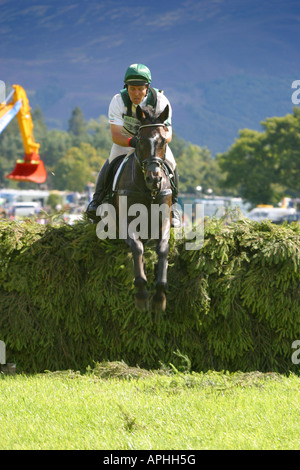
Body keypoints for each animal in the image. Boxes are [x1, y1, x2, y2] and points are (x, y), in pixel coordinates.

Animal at [113, 104, 172, 314]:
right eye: (140, 140)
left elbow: (162, 248)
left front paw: (160, 296)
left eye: (163, 141)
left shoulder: (164, 221)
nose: (154, 179)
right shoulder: (127, 223)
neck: (149, 191)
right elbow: (137, 248)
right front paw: (141, 294)